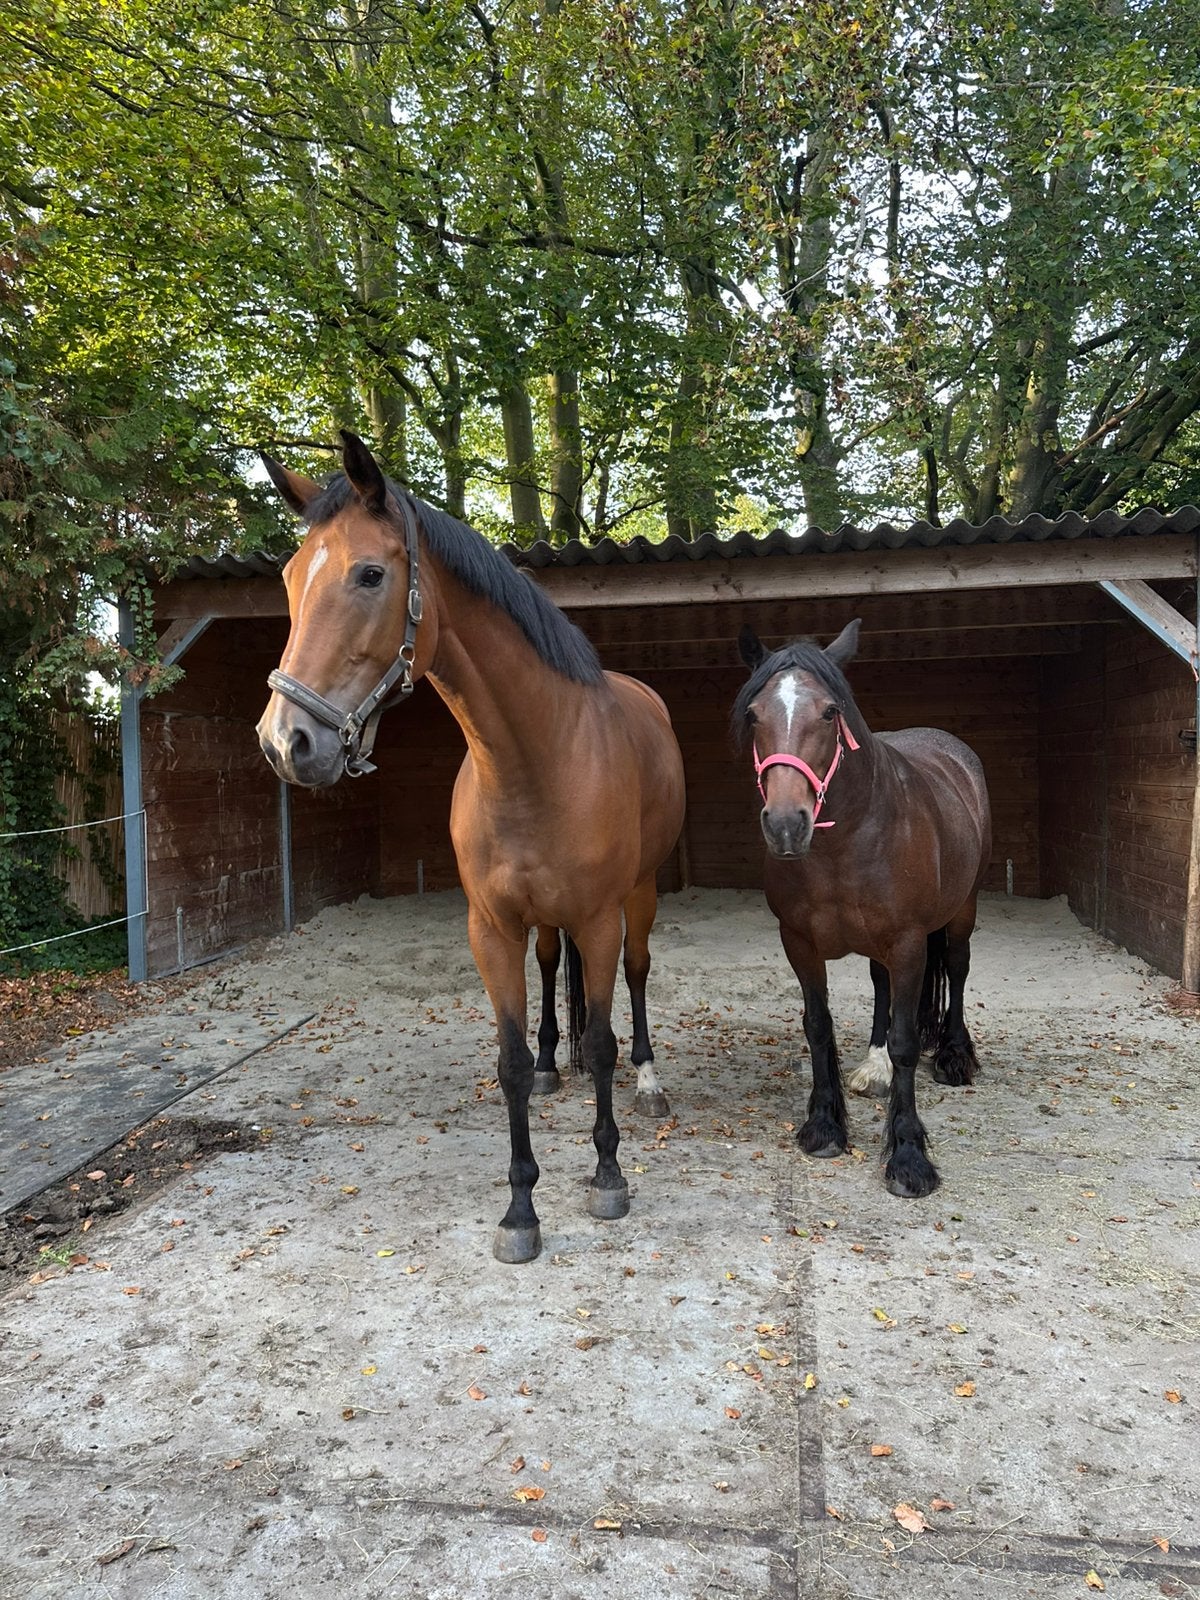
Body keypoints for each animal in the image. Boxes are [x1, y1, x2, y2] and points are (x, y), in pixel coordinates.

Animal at [256, 431, 686, 1263]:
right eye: (291, 578)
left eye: (370, 573)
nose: (286, 743)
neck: (535, 759)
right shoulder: (491, 929)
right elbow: (510, 1061)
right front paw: (520, 1209)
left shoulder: (599, 918)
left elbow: (605, 1038)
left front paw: (608, 1174)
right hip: (544, 924)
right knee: (552, 969)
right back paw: (557, 1063)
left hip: (640, 894)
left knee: (638, 977)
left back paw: (649, 1081)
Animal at [734, 619, 992, 1198]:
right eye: (754, 714)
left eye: (830, 712)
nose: (786, 824)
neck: (845, 840)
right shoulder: (799, 942)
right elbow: (818, 1026)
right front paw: (825, 1126)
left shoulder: (909, 943)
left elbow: (905, 1041)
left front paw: (909, 1158)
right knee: (880, 987)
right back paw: (874, 1069)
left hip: (961, 913)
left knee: (959, 970)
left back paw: (954, 1057)